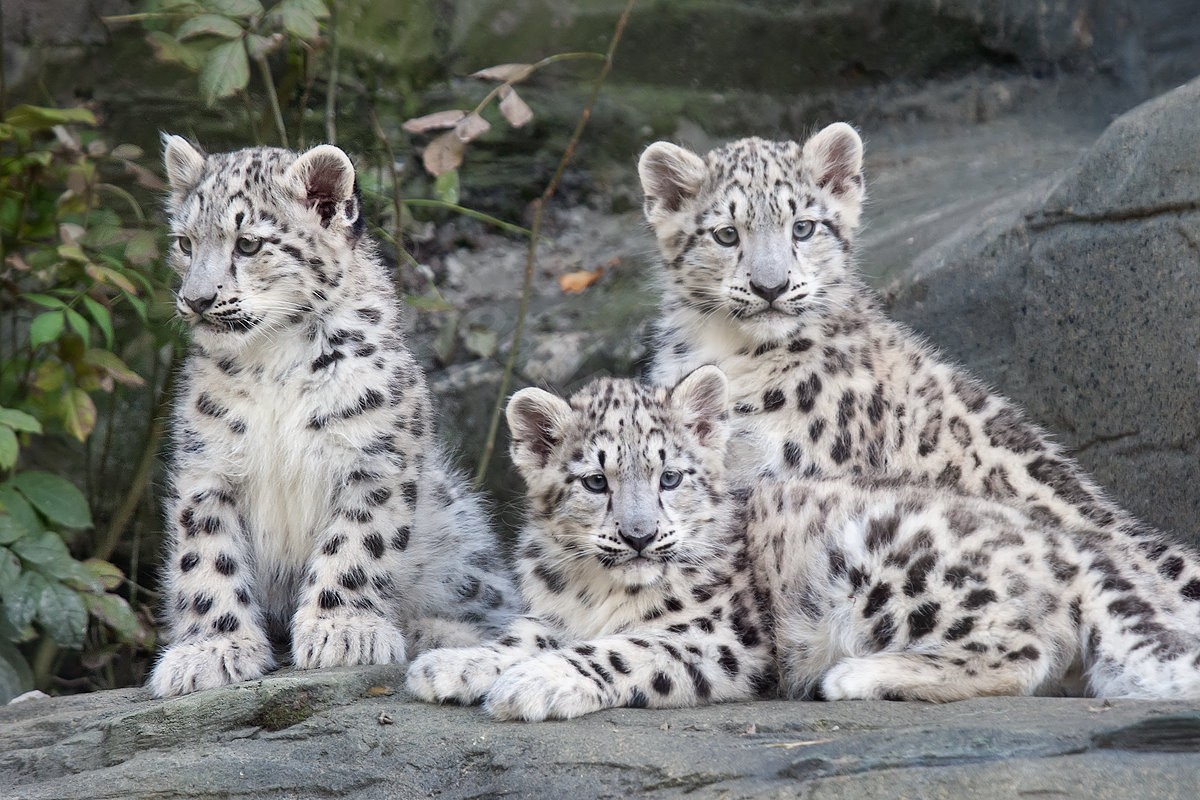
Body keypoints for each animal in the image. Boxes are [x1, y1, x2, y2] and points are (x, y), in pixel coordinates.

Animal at [148, 136, 518, 697]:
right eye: (186, 243)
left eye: (248, 244)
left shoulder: (374, 456)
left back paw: (437, 632)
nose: (196, 299)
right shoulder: (207, 467)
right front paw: (212, 650)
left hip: (461, 545)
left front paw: (343, 631)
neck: (272, 359)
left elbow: (356, 544)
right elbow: (207, 557)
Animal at [405, 367, 774, 720]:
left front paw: (533, 680)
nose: (639, 535)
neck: (601, 591)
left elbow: (622, 649)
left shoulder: (718, 636)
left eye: (670, 477)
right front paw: (456, 664)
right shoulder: (555, 615)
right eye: (596, 482)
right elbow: (522, 636)